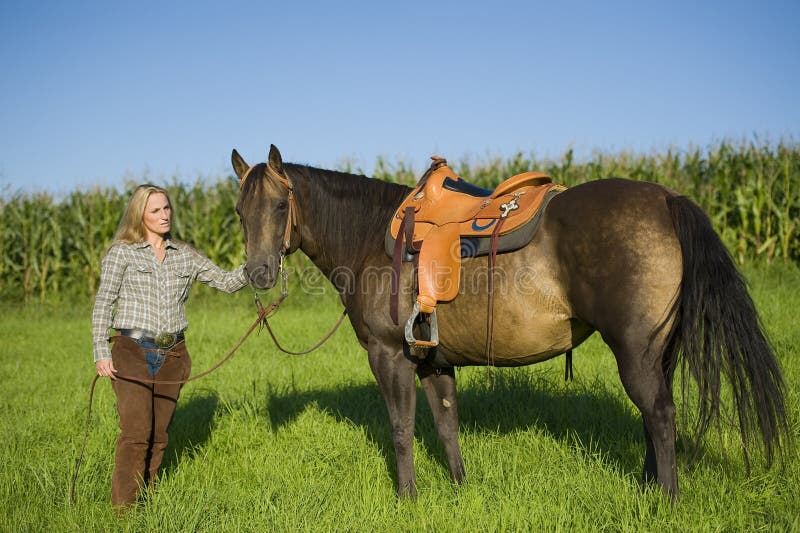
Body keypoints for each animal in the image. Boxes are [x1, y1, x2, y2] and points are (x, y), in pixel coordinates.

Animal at [230, 143, 788, 500]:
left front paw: (407, 499)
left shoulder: (389, 357)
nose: (258, 273)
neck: (372, 238)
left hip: (635, 352)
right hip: (660, 354)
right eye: (237, 211)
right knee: (654, 419)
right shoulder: (433, 360)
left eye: (279, 206)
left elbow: (401, 429)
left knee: (661, 416)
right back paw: (651, 488)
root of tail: (669, 198)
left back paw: (666, 499)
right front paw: (459, 490)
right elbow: (447, 424)